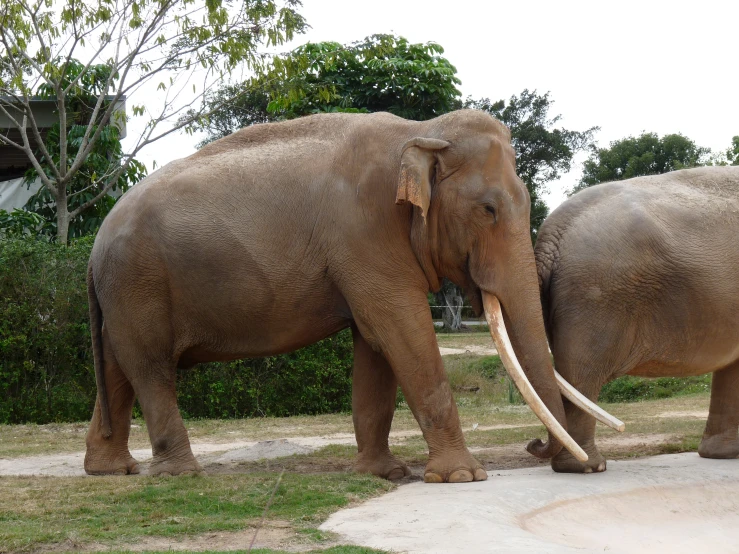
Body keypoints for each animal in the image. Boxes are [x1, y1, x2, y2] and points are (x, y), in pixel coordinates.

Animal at [84, 108, 612, 478]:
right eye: (488, 210)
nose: (536, 447)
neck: (422, 132)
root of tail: (93, 248)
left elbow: (375, 345)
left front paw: (384, 474)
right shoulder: (364, 233)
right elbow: (400, 329)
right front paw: (462, 477)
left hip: (125, 292)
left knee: (117, 368)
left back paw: (113, 470)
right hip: (138, 284)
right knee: (151, 368)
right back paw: (180, 474)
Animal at [536, 166, 739, 472]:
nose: (533, 443)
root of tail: (552, 235)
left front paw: (722, 456)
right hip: (596, 296)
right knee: (582, 374)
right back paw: (588, 467)